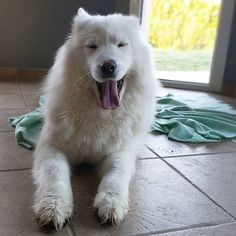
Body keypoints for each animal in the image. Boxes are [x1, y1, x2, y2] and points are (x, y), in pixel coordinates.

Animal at [32, 7, 156, 230]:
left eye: (122, 44)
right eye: (92, 46)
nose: (108, 66)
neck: (100, 114)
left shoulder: (121, 150)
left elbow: (116, 174)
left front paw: (111, 203)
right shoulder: (51, 147)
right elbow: (55, 173)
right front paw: (53, 206)